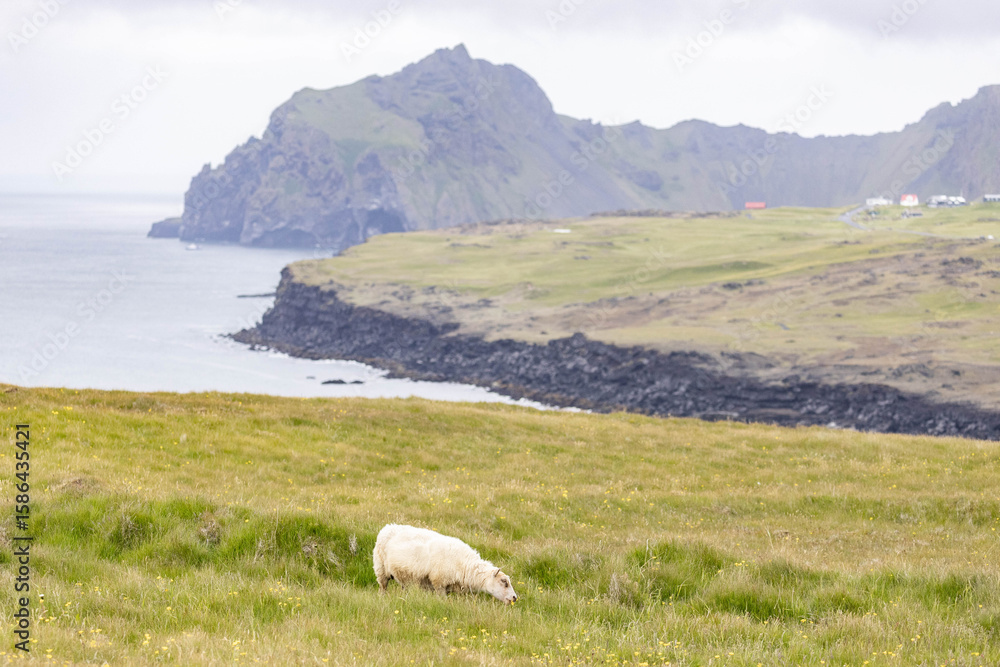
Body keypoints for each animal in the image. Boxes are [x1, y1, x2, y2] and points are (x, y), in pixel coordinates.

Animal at [372, 524, 518, 604]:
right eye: (504, 582)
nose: (515, 597)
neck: (465, 565)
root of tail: (387, 527)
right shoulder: (439, 583)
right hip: (381, 569)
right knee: (383, 587)